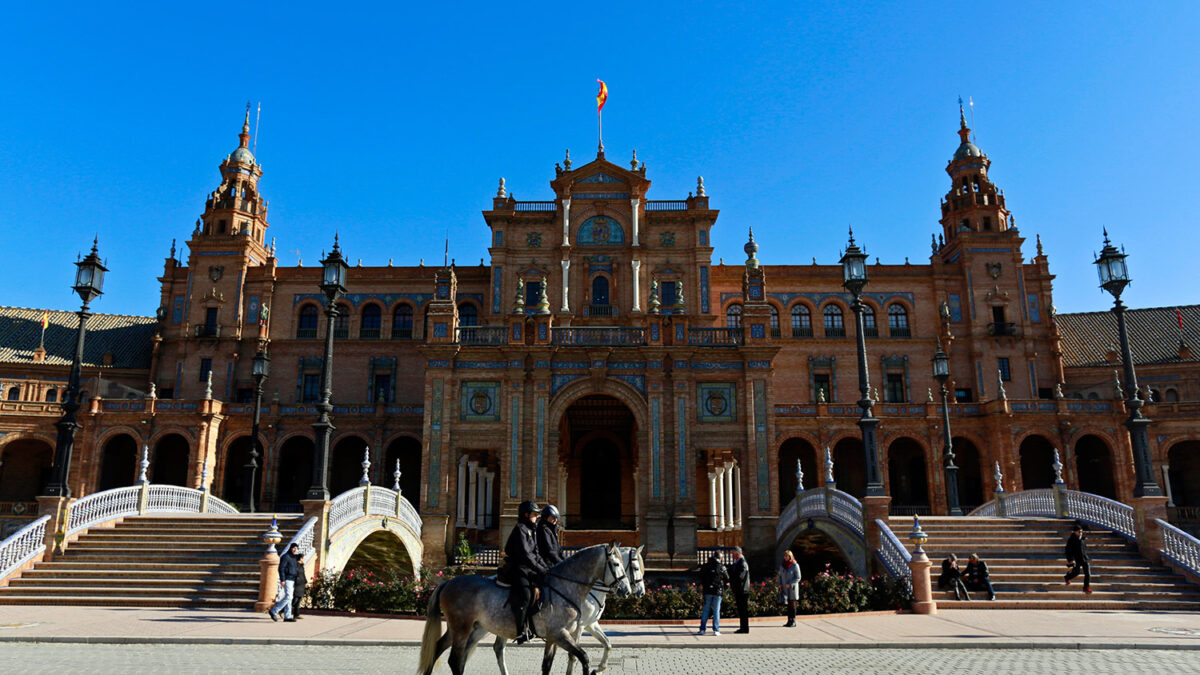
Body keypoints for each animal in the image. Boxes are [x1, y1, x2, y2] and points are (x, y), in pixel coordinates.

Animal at [417, 538, 633, 672]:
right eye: (616, 564)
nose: (627, 590)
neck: (565, 585)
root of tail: (448, 582)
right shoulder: (560, 634)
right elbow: (584, 658)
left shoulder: (554, 637)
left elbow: (547, 666)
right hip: (462, 628)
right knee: (455, 660)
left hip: (464, 628)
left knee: (440, 649)